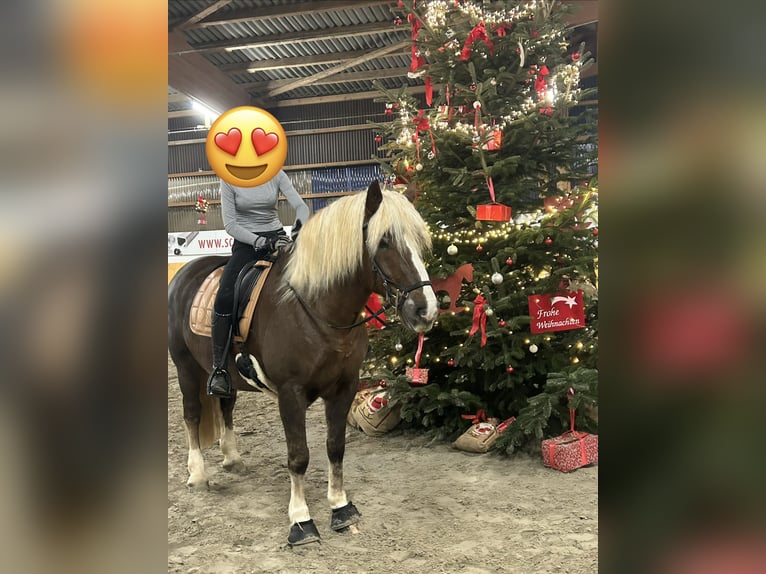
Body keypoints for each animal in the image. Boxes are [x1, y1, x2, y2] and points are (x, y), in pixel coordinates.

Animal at [168, 180, 438, 546]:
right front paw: (301, 521)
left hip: (222, 373)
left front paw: (340, 507)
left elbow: (335, 447)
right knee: (192, 415)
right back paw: (197, 474)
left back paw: (232, 458)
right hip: (185, 367)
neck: (318, 309)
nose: (426, 309)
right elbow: (299, 456)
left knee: (226, 406)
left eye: (419, 240)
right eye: (383, 241)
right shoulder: (290, 393)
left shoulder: (345, 386)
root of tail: (184, 273)